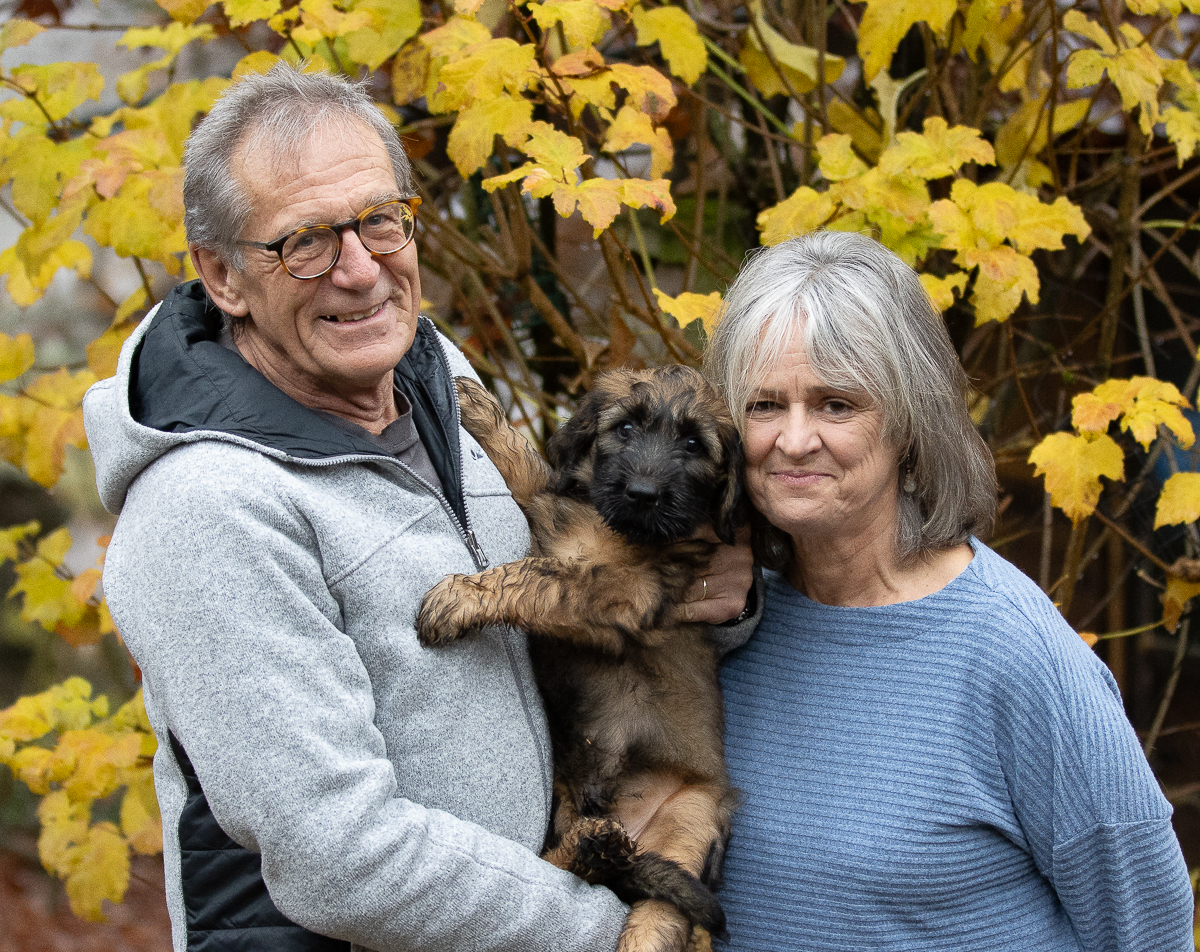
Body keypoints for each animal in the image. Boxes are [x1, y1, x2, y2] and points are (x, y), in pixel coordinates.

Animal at [417, 366, 744, 952]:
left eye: (693, 445)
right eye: (626, 428)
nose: (642, 494)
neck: (610, 526)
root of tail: (630, 829)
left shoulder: (619, 592)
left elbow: (535, 576)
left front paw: (461, 595)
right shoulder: (550, 516)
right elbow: (528, 471)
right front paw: (474, 406)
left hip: (689, 824)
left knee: (657, 919)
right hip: (568, 800)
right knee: (556, 862)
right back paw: (593, 848)